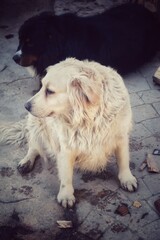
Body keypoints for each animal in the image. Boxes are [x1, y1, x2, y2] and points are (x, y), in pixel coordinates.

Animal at [0, 58, 137, 208]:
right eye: (41, 86)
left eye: (49, 91)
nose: (26, 106)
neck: (89, 118)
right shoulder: (66, 147)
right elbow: (66, 175)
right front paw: (66, 195)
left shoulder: (121, 137)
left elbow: (123, 160)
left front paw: (127, 178)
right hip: (36, 125)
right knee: (34, 146)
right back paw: (26, 162)